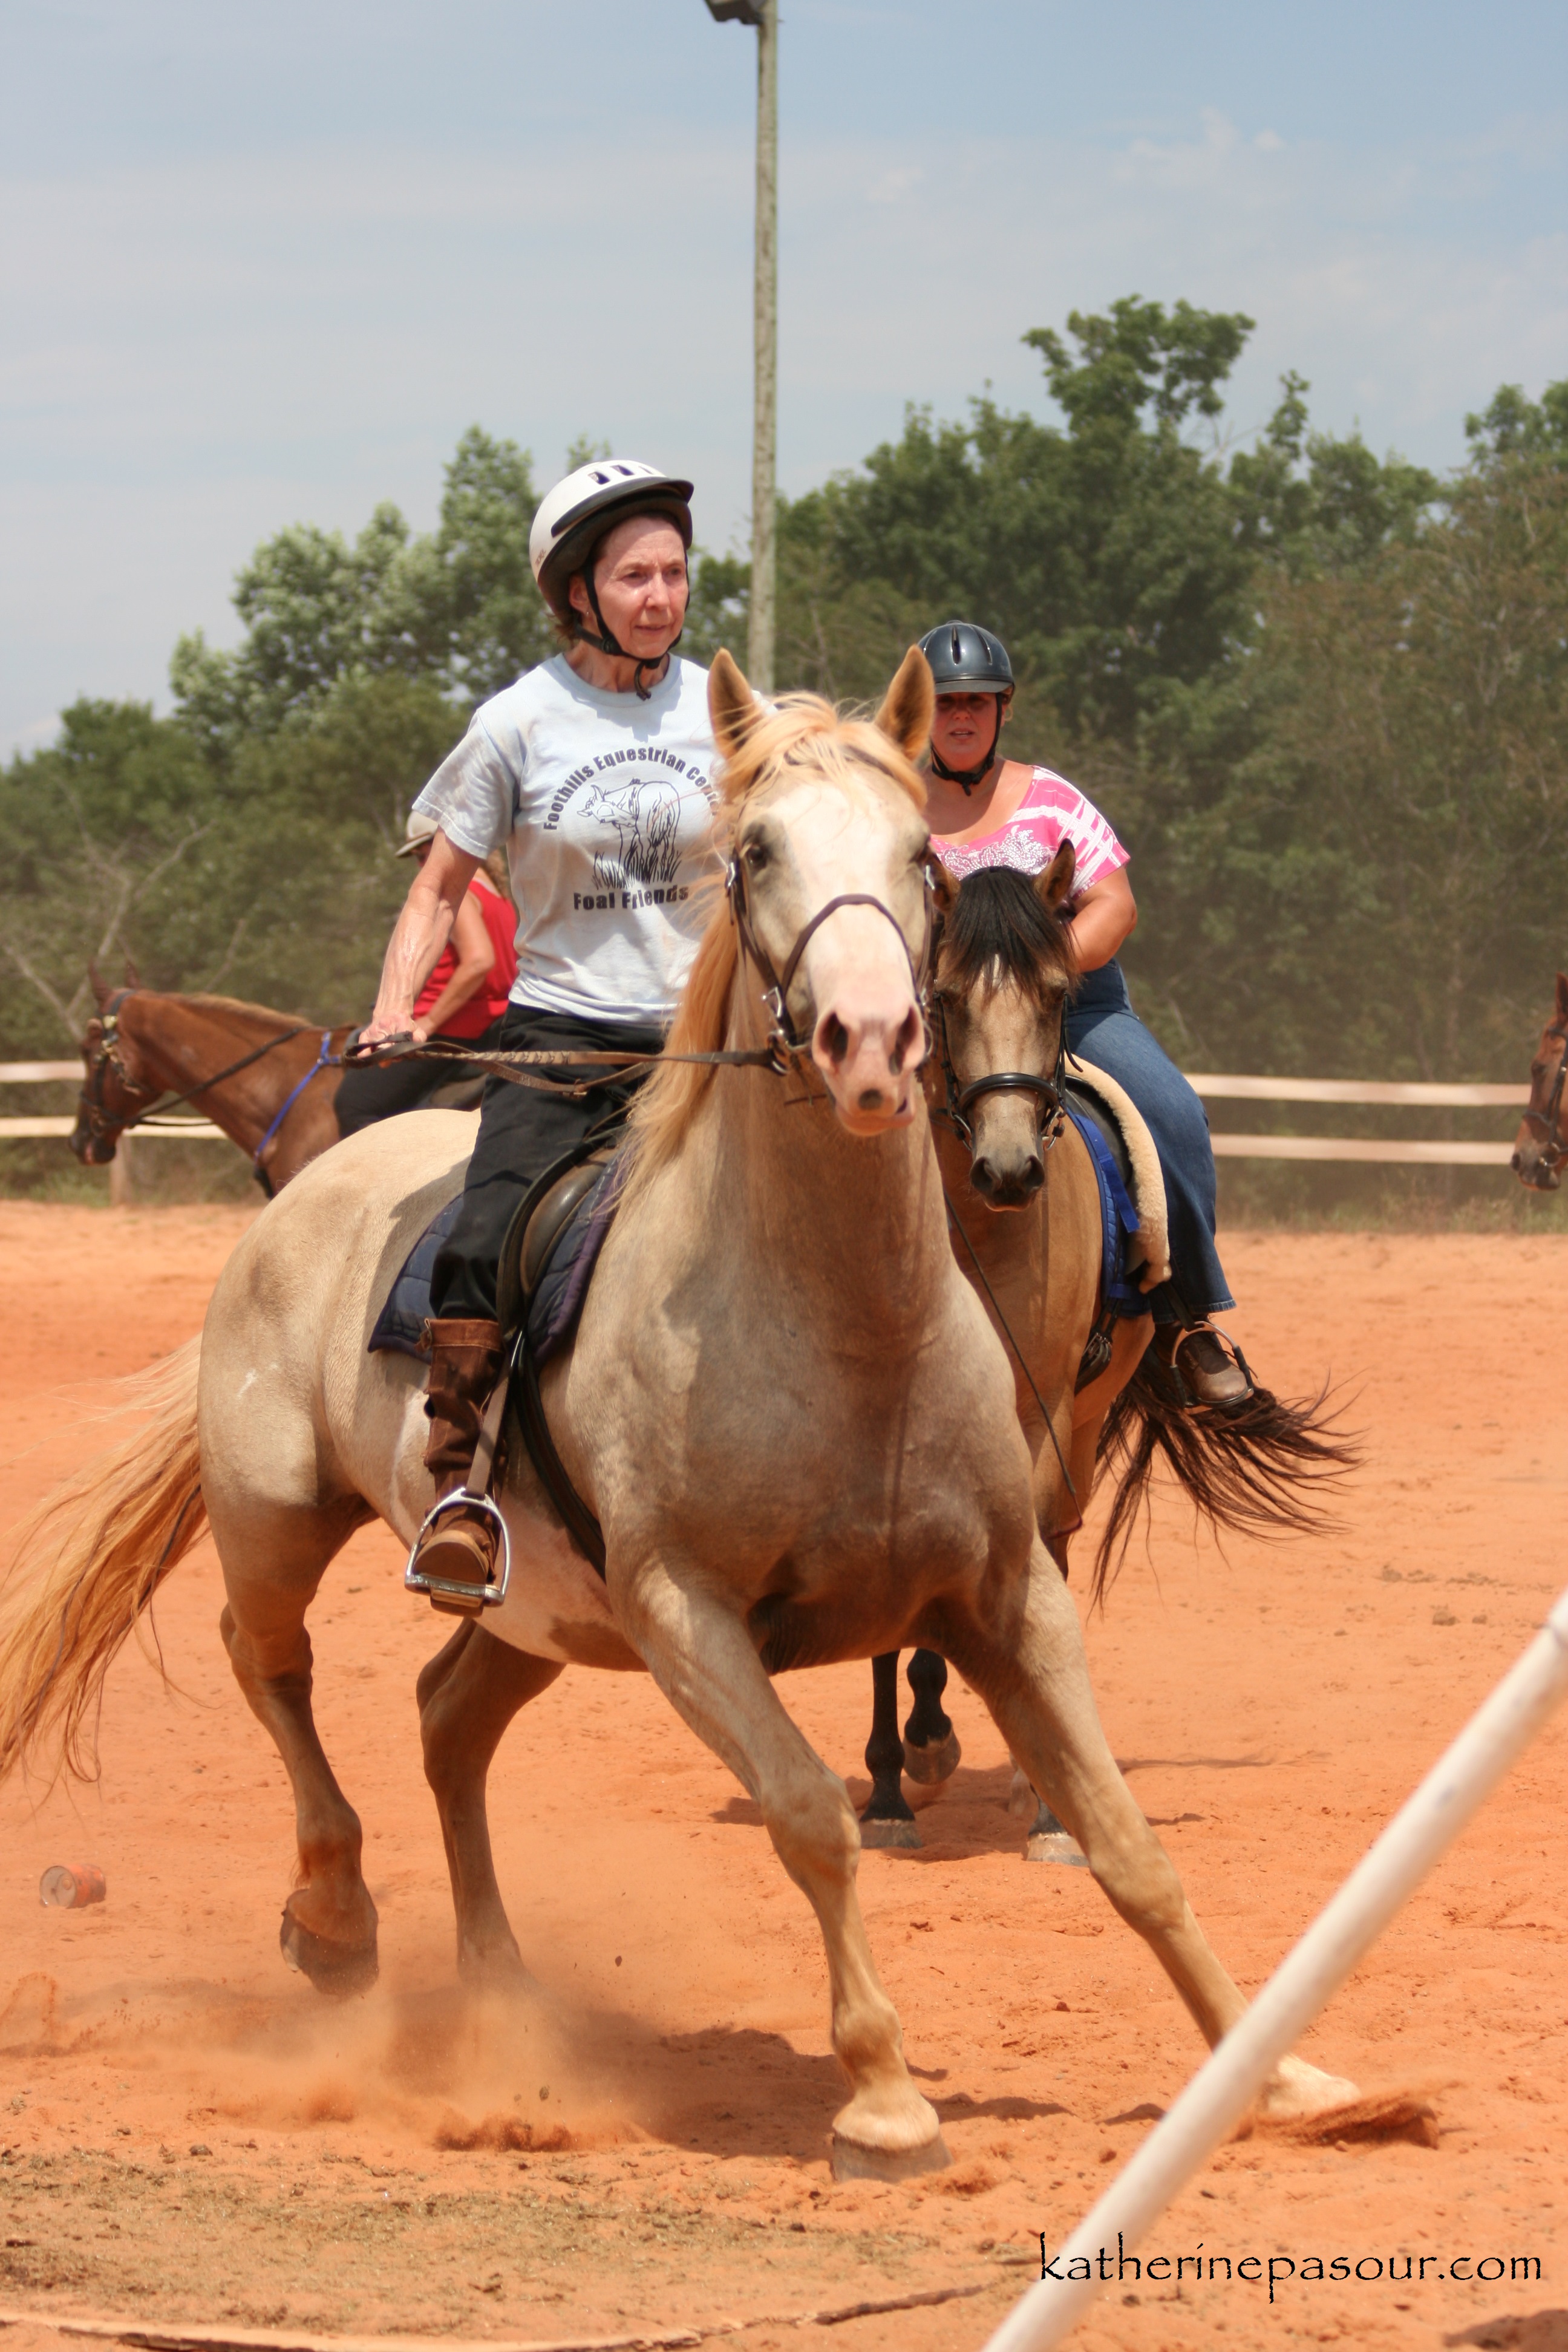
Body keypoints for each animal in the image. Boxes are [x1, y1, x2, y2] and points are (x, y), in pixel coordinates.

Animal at [0, 649, 1354, 2183]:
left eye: (921, 860)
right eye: (754, 851)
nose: (874, 1039)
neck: (844, 1325)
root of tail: (310, 1190)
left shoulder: (1011, 1596)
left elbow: (1127, 1839)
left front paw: (1278, 2072)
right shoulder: (684, 1614)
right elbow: (811, 1815)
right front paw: (885, 2097)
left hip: (540, 1613)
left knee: (446, 1719)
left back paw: (504, 1998)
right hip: (282, 1518)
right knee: (269, 1663)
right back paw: (337, 1919)